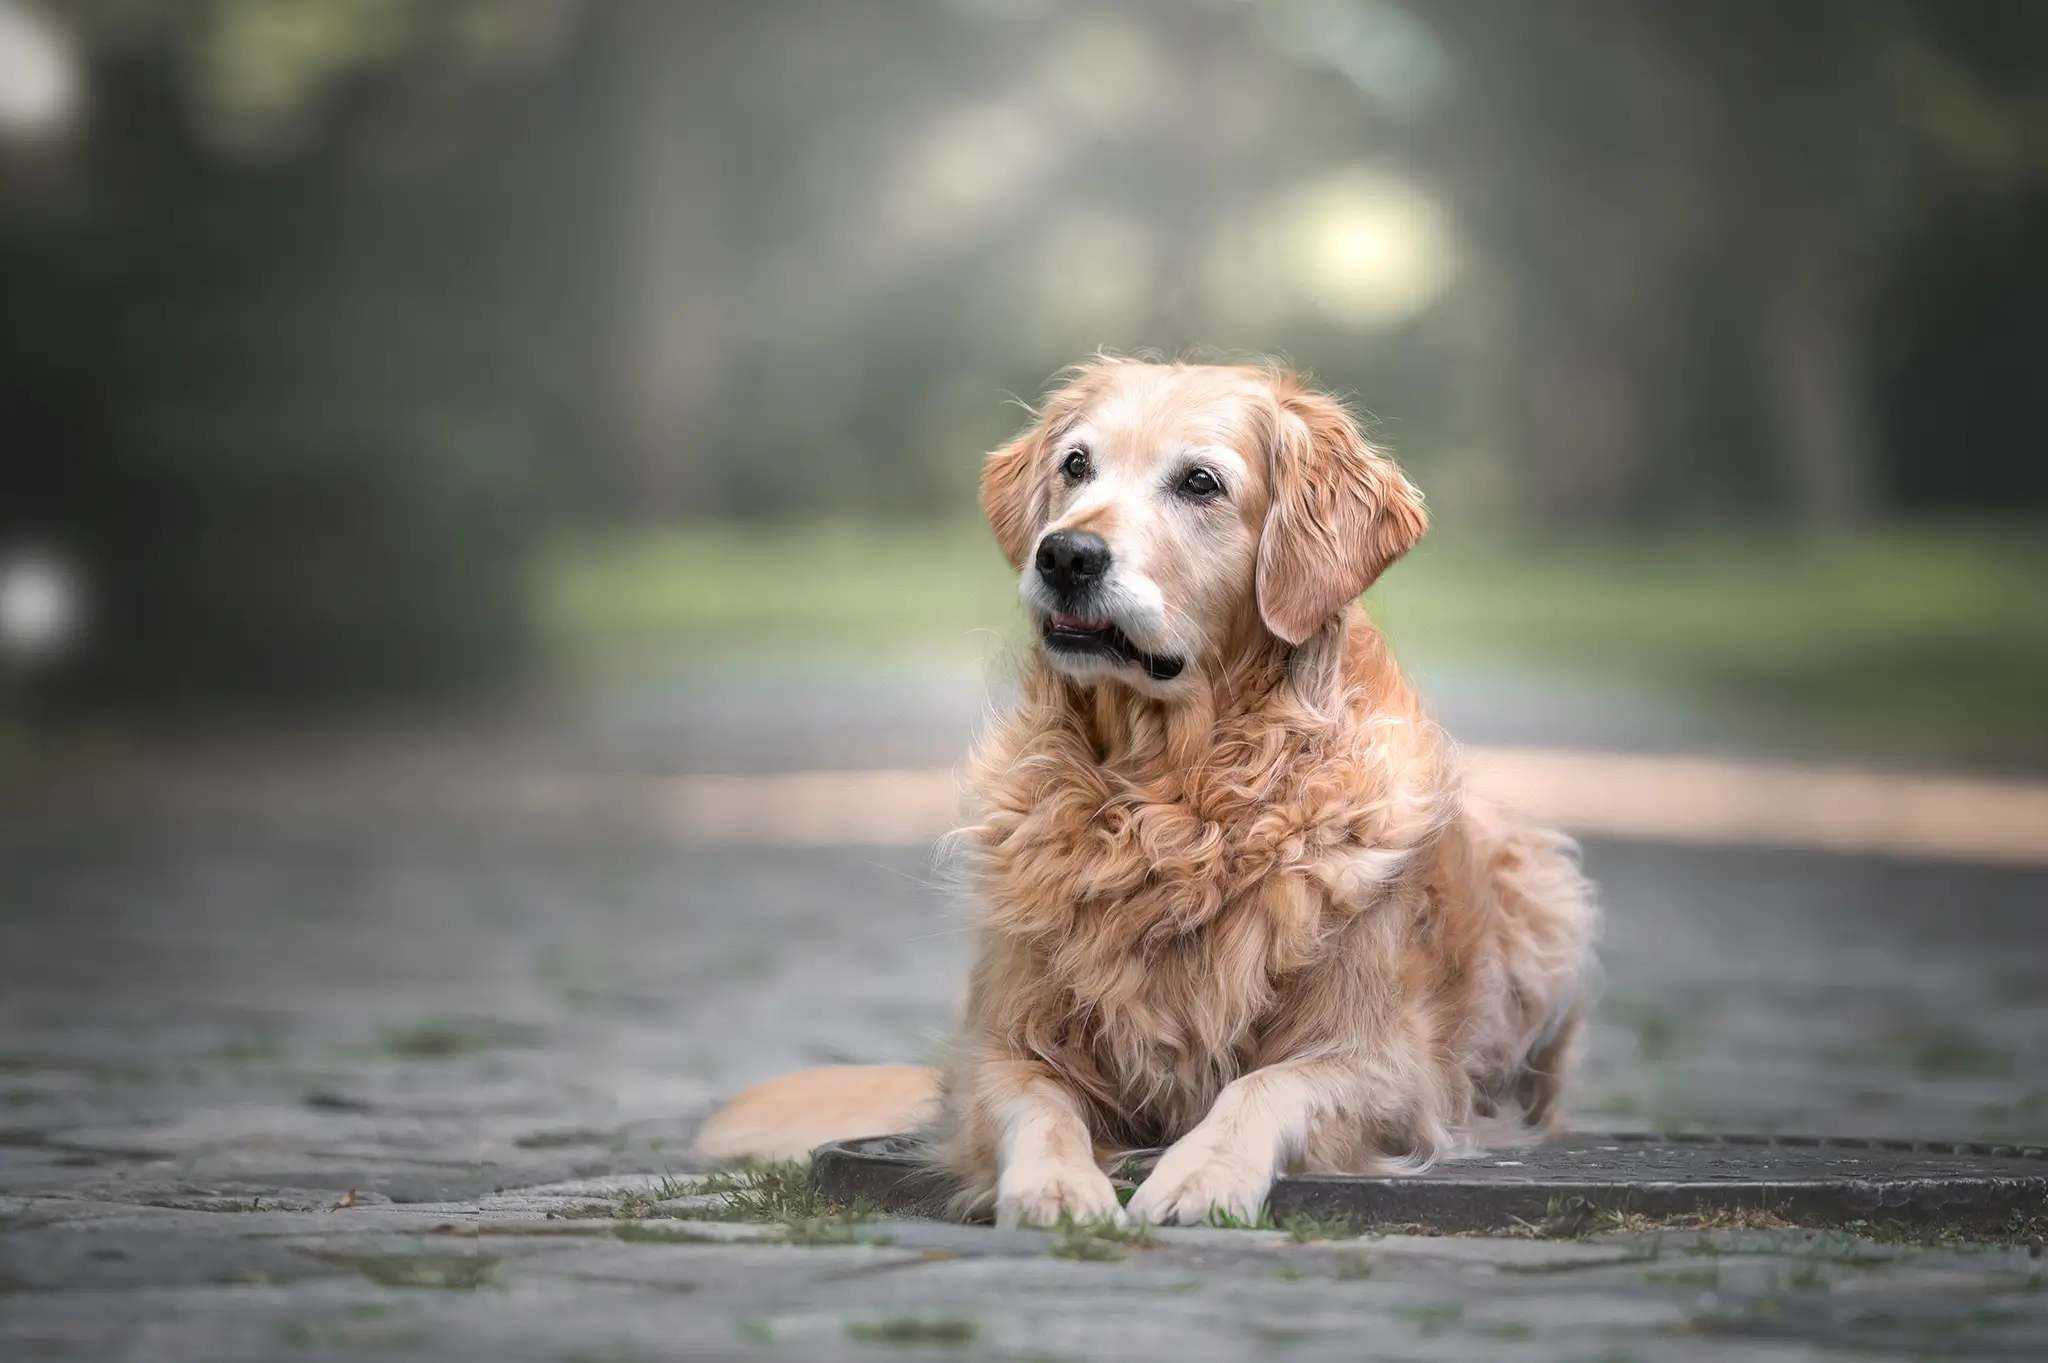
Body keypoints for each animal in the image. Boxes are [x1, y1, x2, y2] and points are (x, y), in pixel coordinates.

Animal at [696, 358, 1589, 1219]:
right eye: (1075, 465)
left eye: (1200, 482)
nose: (1065, 554)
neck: (1167, 796)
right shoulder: (997, 1047)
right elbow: (1038, 1105)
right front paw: (1057, 1184)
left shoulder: (1389, 1065)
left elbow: (1265, 1083)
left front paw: (1203, 1173)